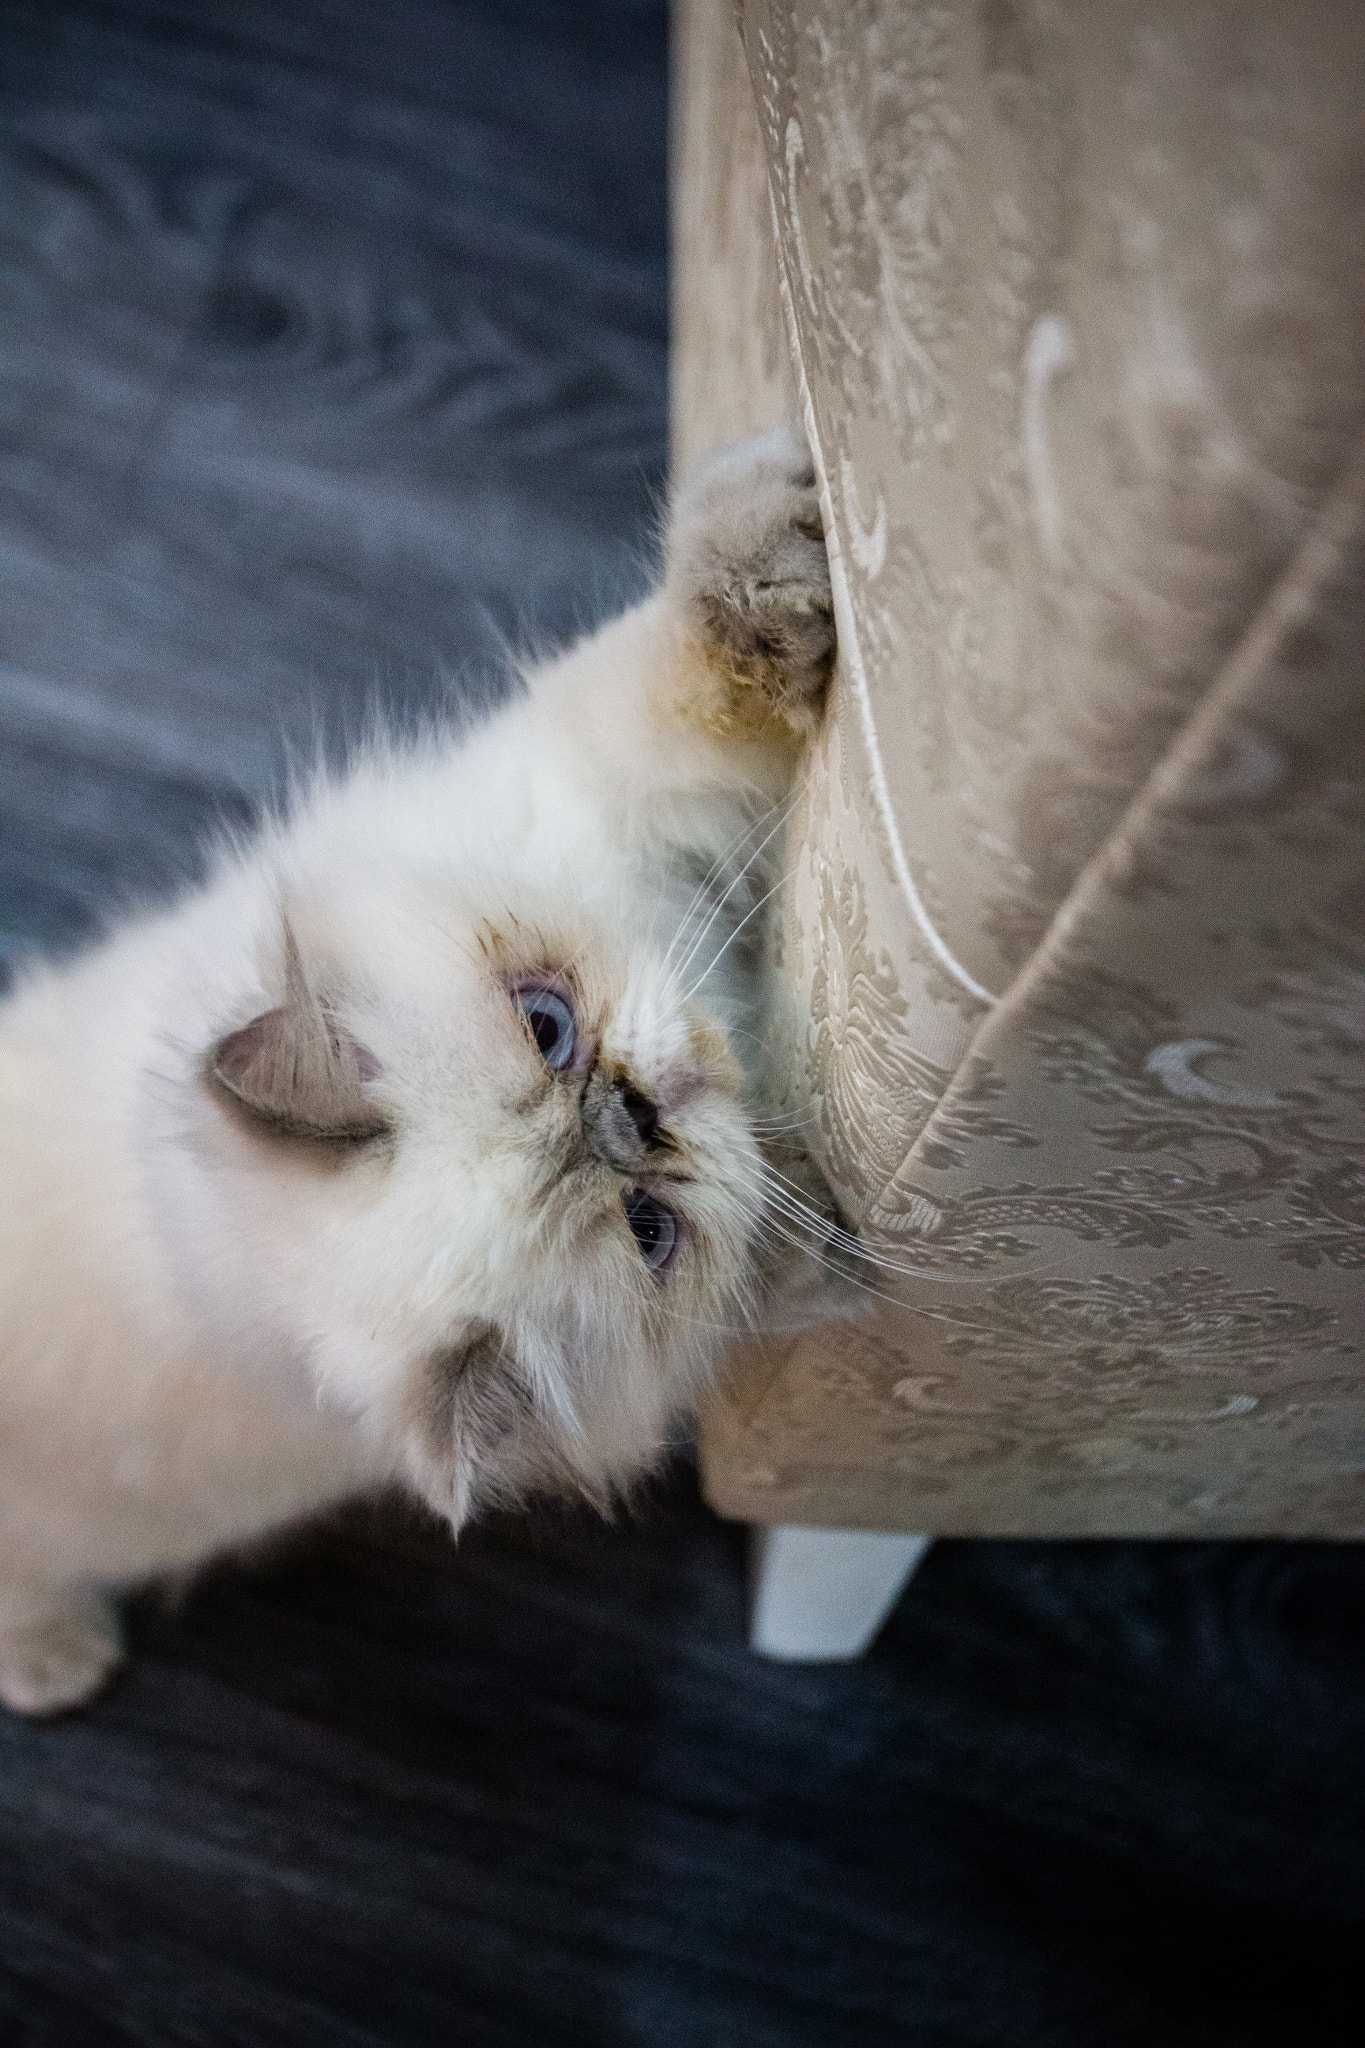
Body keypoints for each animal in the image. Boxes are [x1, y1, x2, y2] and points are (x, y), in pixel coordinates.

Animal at [0, 423, 855, 1720]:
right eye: (648, 1227)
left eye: (547, 1023)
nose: (634, 1108)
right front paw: (829, 1225)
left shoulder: (583, 791)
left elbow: (689, 661)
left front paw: (783, 524)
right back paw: (58, 1665)